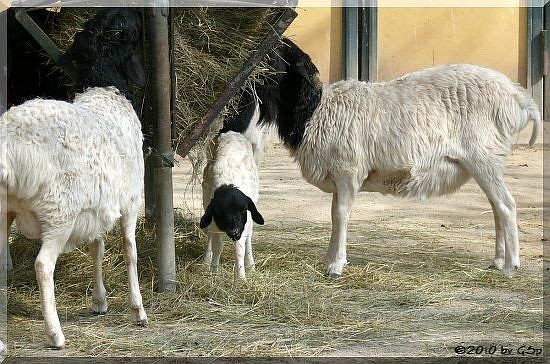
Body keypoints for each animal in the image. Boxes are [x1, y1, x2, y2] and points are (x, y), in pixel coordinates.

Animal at [258, 37, 544, 278]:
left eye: (276, 55)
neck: (314, 112)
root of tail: (520, 98)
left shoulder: (349, 172)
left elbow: (341, 215)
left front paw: (336, 266)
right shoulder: (339, 176)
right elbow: (333, 216)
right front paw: (329, 257)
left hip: (484, 157)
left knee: (506, 205)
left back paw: (510, 265)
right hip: (485, 163)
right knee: (497, 207)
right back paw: (497, 261)